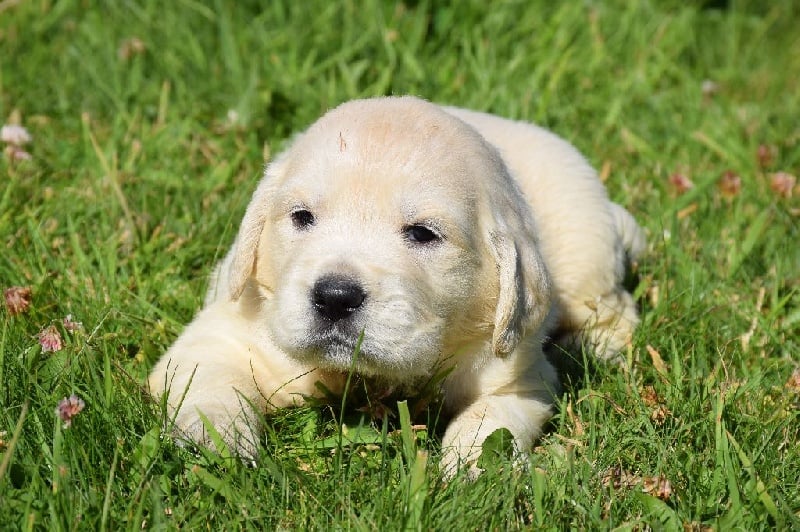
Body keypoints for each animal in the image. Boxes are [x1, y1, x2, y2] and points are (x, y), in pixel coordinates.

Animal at [148, 96, 645, 477]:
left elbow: (491, 423)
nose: (335, 297)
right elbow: (210, 392)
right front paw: (219, 447)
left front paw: (470, 471)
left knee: (614, 308)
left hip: (583, 250)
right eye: (302, 217)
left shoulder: (517, 377)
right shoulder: (218, 339)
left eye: (423, 234)